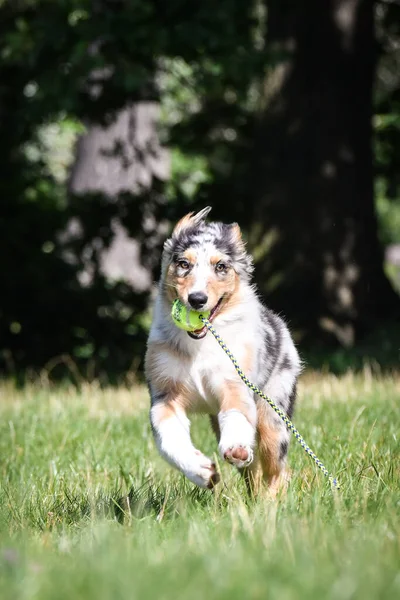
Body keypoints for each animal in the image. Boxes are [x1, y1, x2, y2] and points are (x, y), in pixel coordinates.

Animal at [145, 209, 302, 494]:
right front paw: (201, 472)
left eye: (220, 267)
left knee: (277, 469)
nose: (197, 299)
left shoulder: (234, 382)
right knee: (253, 471)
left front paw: (236, 447)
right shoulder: (164, 395)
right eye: (183, 264)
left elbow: (236, 413)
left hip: (273, 413)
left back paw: (272, 500)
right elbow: (168, 440)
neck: (200, 346)